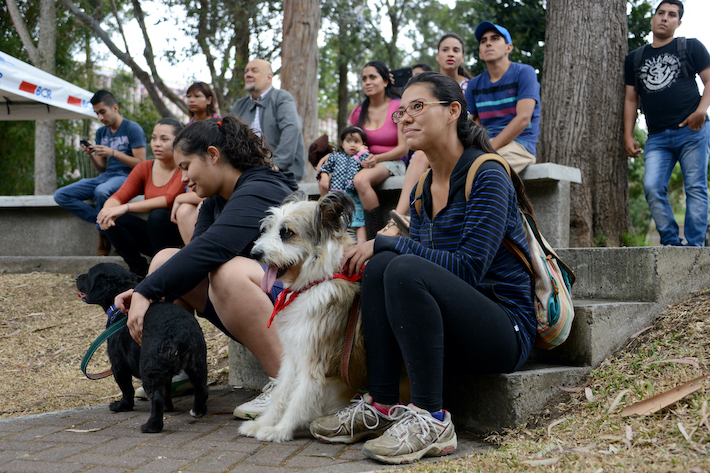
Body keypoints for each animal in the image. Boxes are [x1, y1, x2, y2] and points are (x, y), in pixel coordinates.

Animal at [76, 262, 209, 432]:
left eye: (89, 275)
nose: (76, 277)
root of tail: (181, 333)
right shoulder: (164, 373)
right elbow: (166, 390)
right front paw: (168, 408)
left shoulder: (118, 365)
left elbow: (127, 389)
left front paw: (121, 406)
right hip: (197, 364)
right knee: (201, 389)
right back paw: (198, 411)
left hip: (148, 367)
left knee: (156, 398)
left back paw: (151, 426)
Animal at [242, 190, 370, 440]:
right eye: (268, 229)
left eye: (287, 233)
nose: (254, 253)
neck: (313, 283)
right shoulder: (293, 355)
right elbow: (281, 393)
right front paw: (263, 423)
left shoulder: (313, 361)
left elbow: (298, 399)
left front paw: (280, 430)